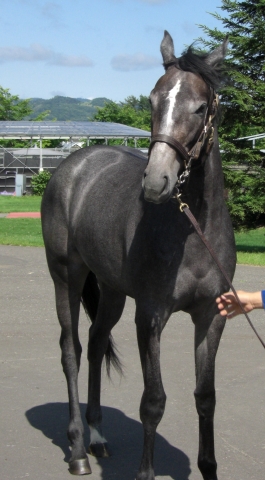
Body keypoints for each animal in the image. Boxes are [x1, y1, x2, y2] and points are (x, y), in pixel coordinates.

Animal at [41, 31, 235, 480]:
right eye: (152, 100)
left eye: (201, 107)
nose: (156, 181)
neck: (193, 231)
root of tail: (75, 165)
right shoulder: (150, 317)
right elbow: (153, 401)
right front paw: (145, 472)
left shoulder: (212, 315)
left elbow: (206, 396)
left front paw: (209, 466)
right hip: (66, 277)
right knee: (72, 351)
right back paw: (78, 449)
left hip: (111, 291)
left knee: (96, 343)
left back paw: (96, 436)